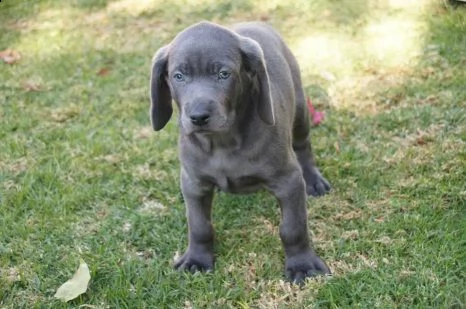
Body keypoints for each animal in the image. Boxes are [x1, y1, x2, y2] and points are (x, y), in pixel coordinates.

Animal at [150, 20, 332, 282]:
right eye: (179, 76)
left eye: (224, 74)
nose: (198, 117)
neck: (222, 143)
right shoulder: (195, 182)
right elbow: (199, 226)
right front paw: (197, 259)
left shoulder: (288, 181)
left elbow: (293, 228)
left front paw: (302, 264)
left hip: (299, 108)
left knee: (303, 145)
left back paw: (314, 180)